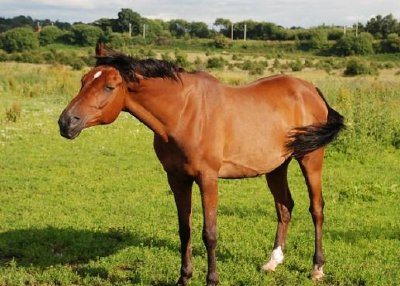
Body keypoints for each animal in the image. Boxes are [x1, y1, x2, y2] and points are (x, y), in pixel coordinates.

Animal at [58, 43, 344, 286]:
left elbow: (210, 233)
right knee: (285, 207)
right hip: (276, 167)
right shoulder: (177, 179)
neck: (183, 113)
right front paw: (184, 277)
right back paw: (272, 262)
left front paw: (212, 279)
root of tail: (310, 89)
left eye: (109, 87)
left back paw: (317, 268)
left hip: (310, 159)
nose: (66, 122)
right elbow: (185, 229)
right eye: (83, 81)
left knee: (316, 209)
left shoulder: (207, 178)